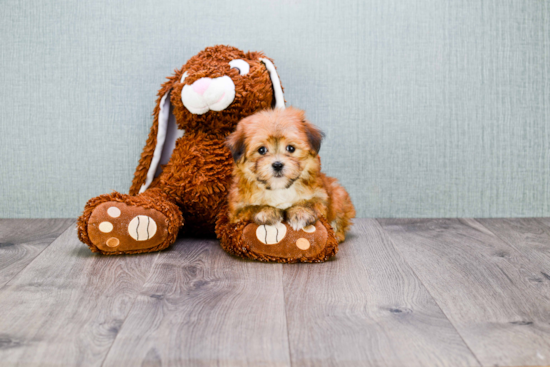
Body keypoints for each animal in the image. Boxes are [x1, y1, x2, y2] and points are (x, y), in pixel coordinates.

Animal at [226, 107, 356, 244]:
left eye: (291, 148)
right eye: (261, 150)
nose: (277, 165)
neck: (279, 188)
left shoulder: (320, 197)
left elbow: (309, 203)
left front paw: (301, 214)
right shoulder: (237, 210)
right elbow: (251, 208)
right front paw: (266, 212)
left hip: (339, 194)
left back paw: (336, 235)